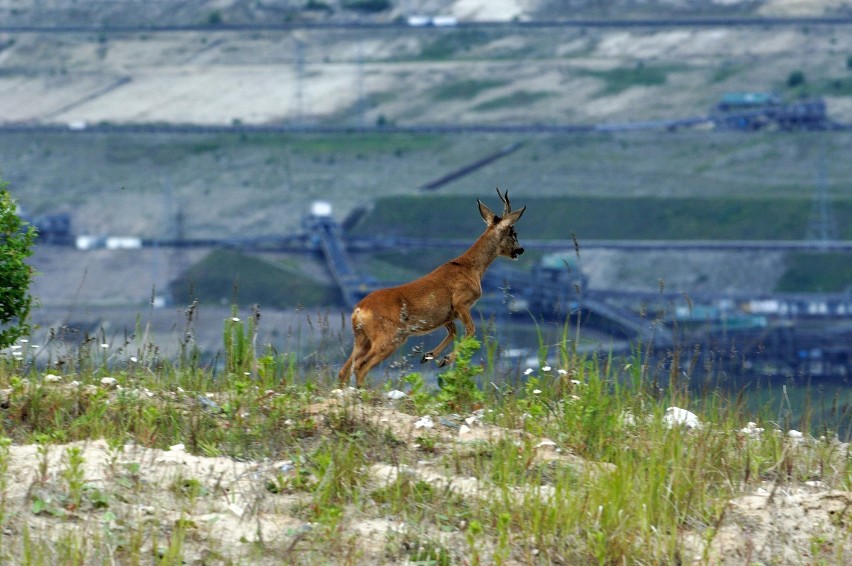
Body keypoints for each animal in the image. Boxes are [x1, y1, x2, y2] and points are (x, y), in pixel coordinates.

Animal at [340, 189, 524, 388]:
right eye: (513, 232)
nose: (520, 250)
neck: (471, 268)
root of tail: (359, 310)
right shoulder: (461, 303)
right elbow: (471, 330)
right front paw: (445, 359)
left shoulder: (446, 315)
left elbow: (453, 331)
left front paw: (429, 356)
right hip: (389, 337)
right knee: (360, 367)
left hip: (362, 339)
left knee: (345, 370)